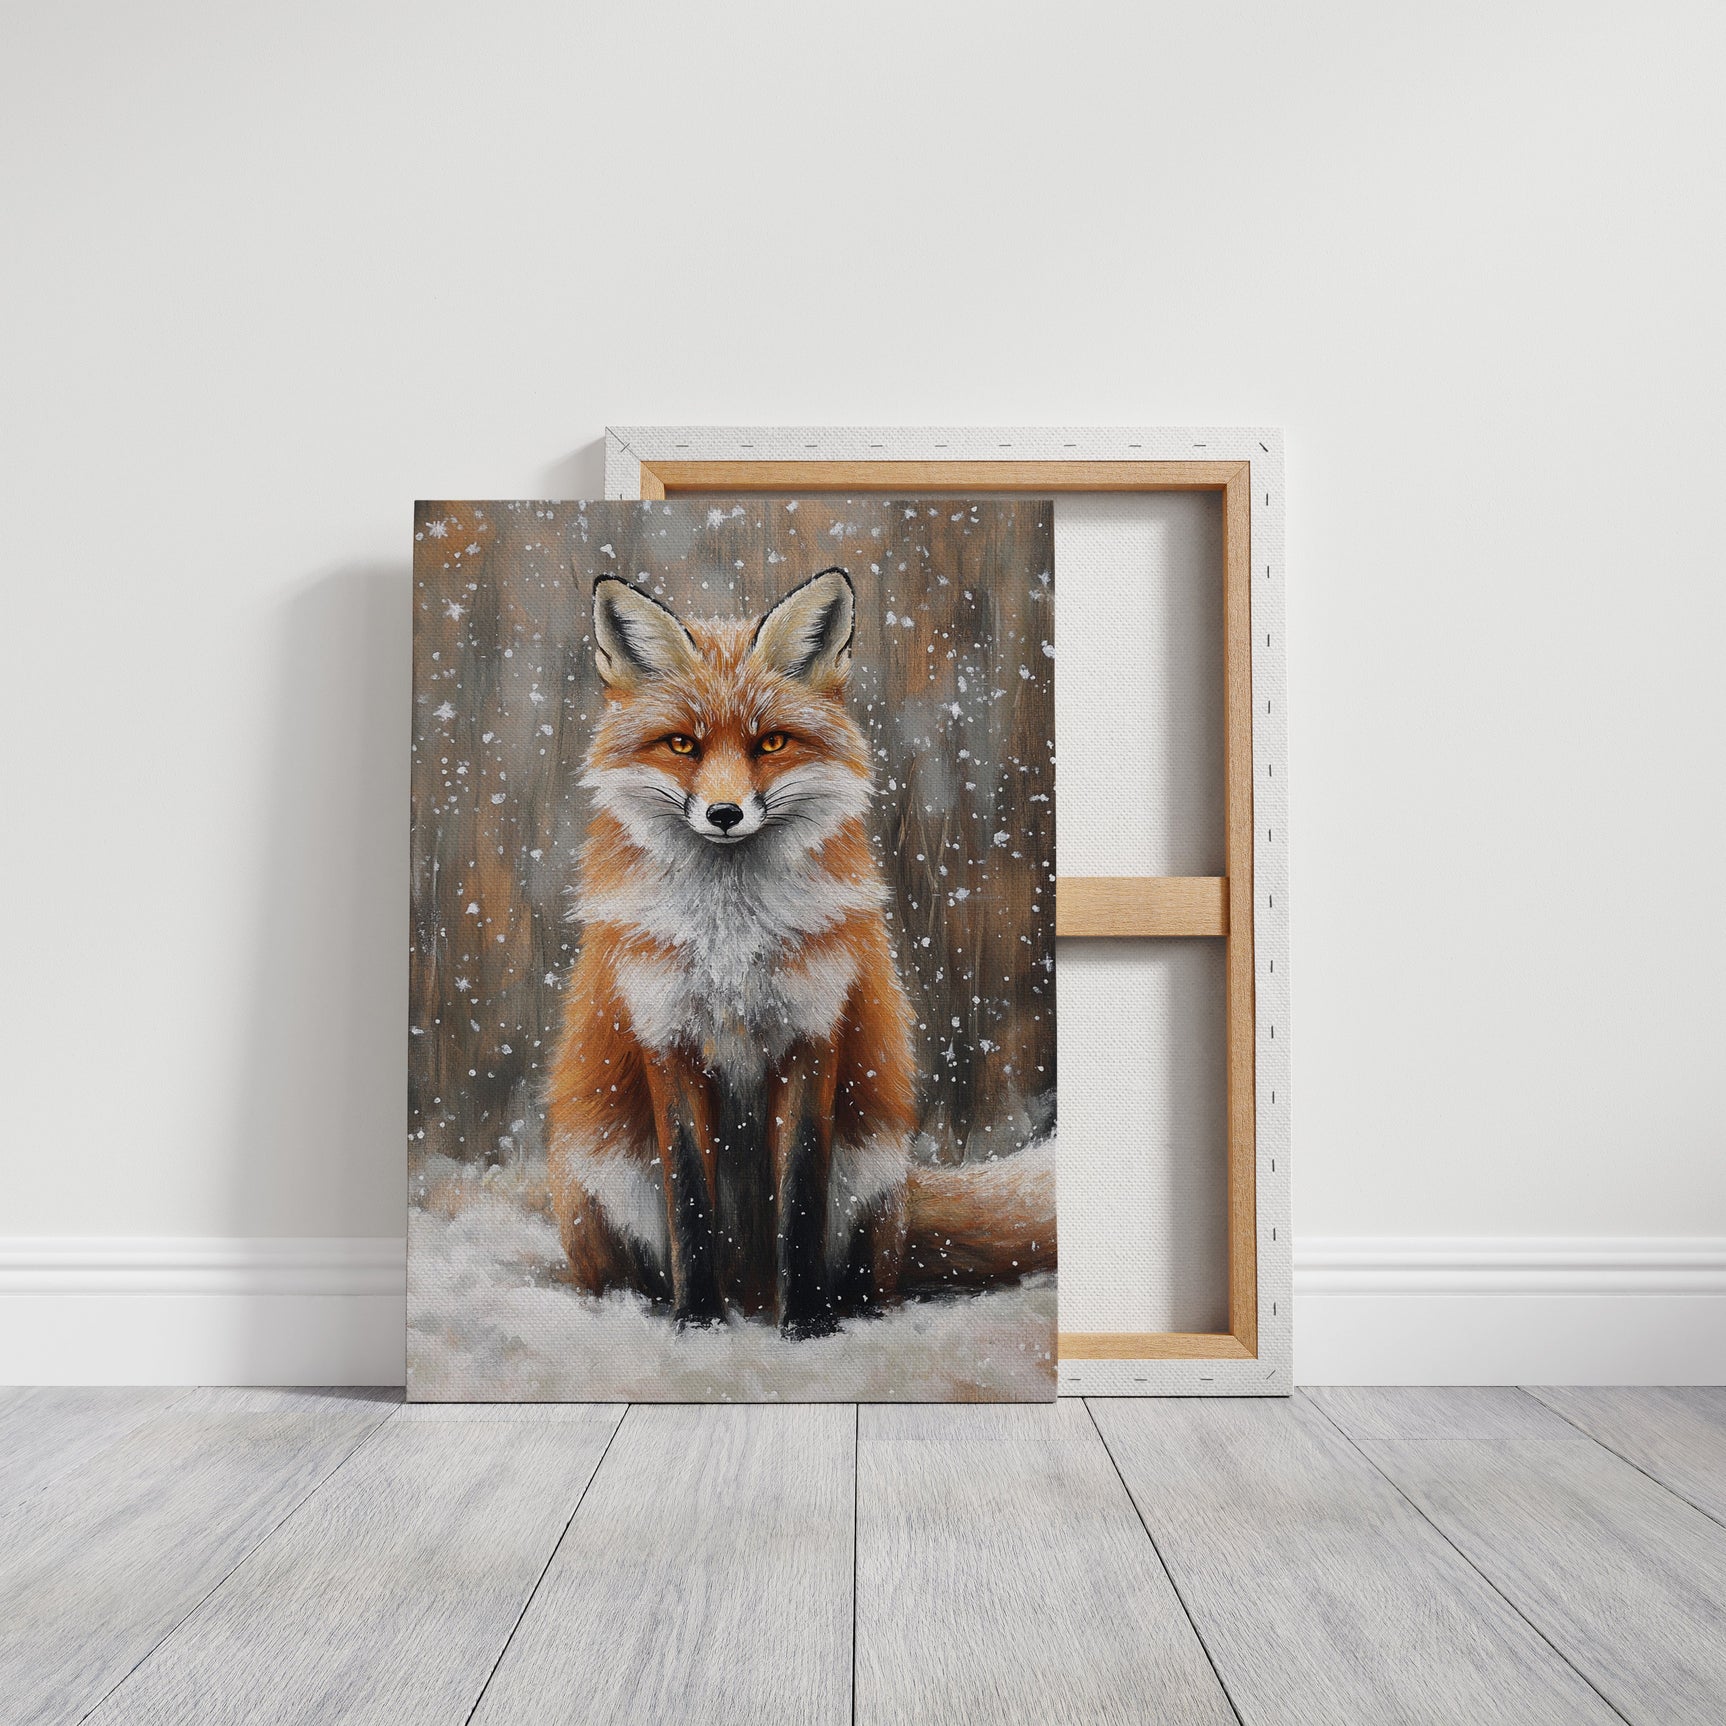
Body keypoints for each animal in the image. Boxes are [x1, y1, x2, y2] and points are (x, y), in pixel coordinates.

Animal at [544, 565, 1053, 1337]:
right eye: (683, 745)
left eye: (772, 743)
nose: (724, 814)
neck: (731, 937)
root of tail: (751, 1290)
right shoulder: (666, 1036)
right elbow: (690, 1202)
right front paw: (698, 1323)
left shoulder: (815, 1032)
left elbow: (801, 1199)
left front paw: (808, 1323)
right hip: (601, 1177)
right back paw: (651, 1308)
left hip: (871, 1172)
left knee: (875, 1277)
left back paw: (840, 1308)